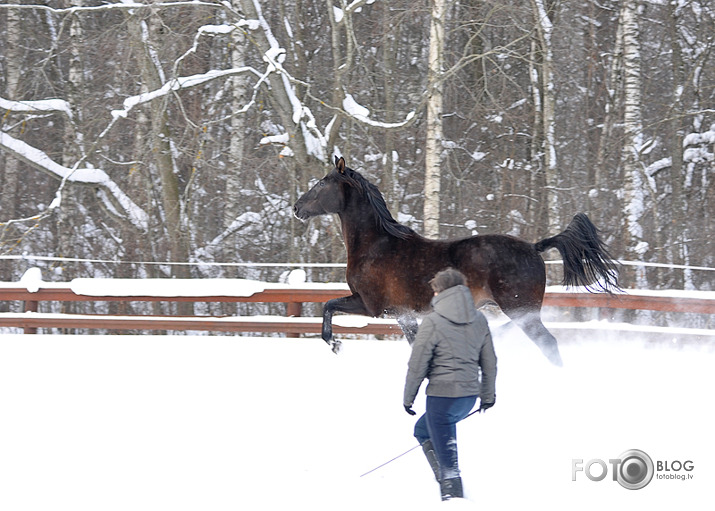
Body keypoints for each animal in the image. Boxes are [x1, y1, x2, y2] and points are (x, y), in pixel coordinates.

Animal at [292, 158, 620, 366]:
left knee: (548, 343)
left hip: (520, 309)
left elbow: (328, 306)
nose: (296, 208)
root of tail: (534, 247)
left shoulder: (370, 305)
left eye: (322, 184)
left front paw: (335, 344)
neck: (376, 245)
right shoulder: (403, 314)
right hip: (521, 312)